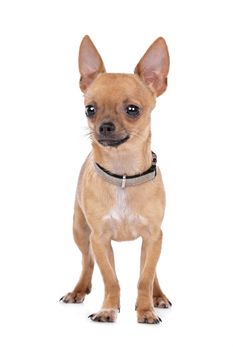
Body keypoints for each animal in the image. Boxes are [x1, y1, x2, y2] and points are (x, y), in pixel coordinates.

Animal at [60, 34, 171, 322]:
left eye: (132, 109)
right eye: (90, 109)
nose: (105, 126)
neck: (122, 174)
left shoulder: (153, 237)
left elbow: (145, 278)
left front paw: (146, 309)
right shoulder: (99, 239)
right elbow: (110, 279)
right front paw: (109, 308)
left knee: (151, 271)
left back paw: (157, 296)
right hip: (80, 230)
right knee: (87, 262)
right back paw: (79, 290)